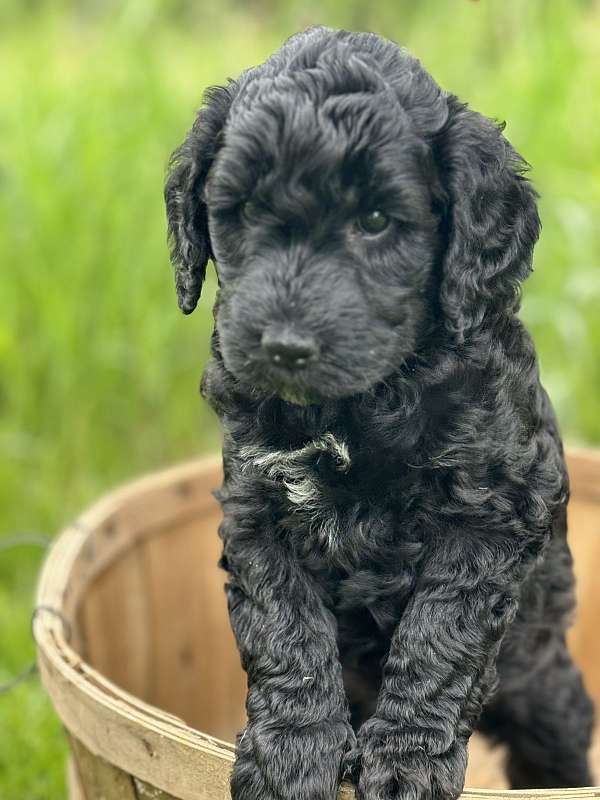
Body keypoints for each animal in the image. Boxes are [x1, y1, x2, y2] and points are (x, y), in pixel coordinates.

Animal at [164, 26, 596, 800]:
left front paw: (407, 759)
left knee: (564, 716)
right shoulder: (256, 502)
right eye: (243, 211)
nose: (284, 346)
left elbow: (439, 633)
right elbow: (283, 624)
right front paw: (291, 752)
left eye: (374, 221)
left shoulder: (490, 514)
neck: (358, 403)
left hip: (537, 671)